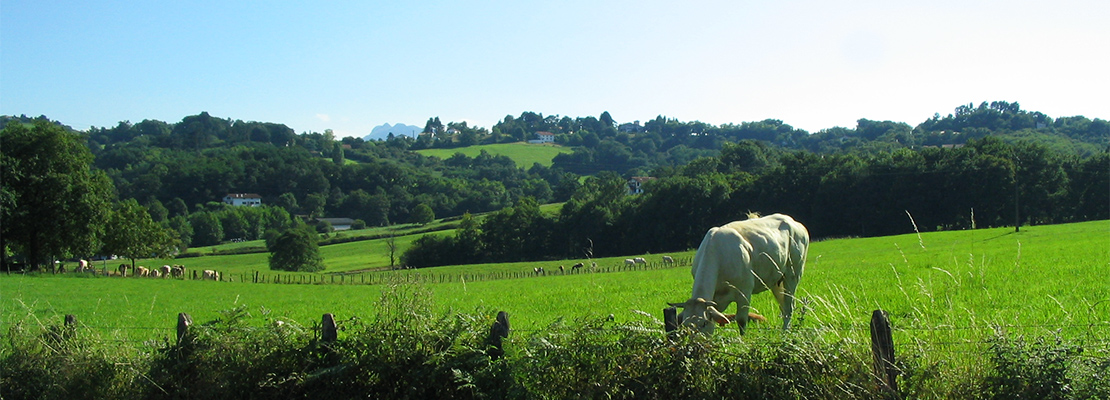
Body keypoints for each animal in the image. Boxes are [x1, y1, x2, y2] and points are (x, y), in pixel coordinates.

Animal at [666, 212, 808, 333]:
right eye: (685, 325)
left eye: (704, 323)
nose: (695, 346)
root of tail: (793, 221)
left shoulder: (744, 293)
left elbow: (741, 321)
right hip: (776, 281)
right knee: (783, 305)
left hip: (793, 275)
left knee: (789, 306)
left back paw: (785, 332)